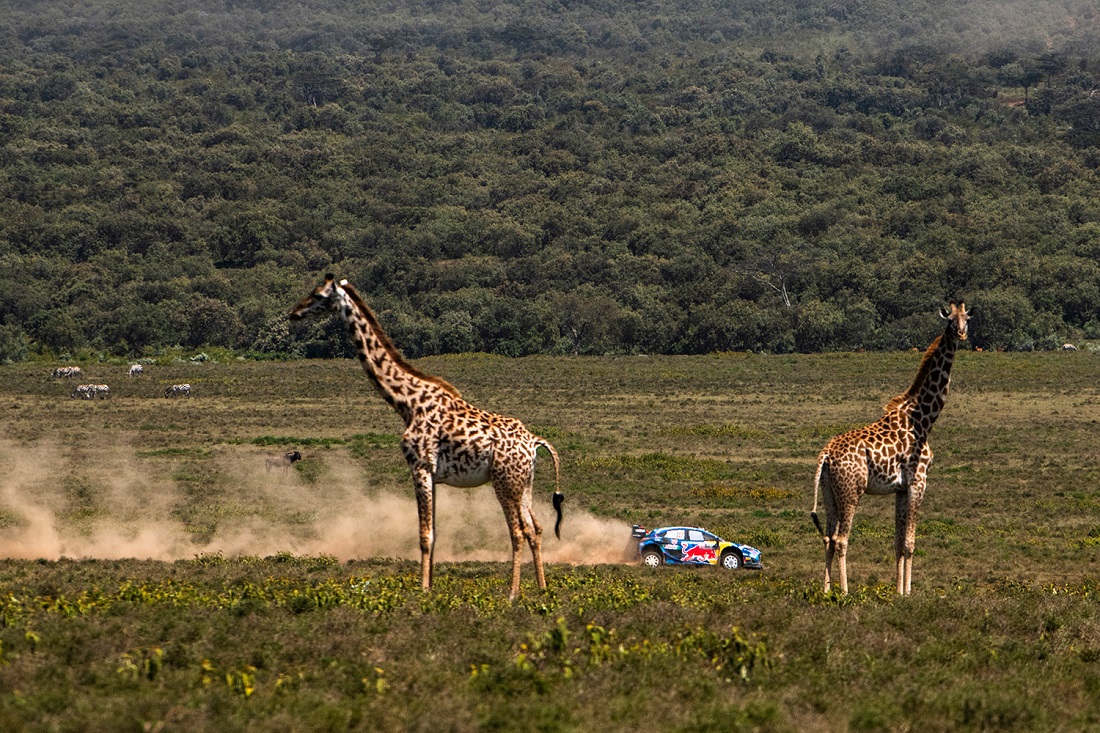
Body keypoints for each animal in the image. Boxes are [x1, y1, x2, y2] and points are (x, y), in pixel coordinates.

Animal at [290, 274, 567, 598]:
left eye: (318, 295)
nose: (294, 312)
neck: (406, 402)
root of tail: (535, 442)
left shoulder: (419, 467)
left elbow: (424, 536)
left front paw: (422, 592)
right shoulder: (434, 475)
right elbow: (435, 534)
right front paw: (431, 589)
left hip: (505, 481)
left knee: (518, 531)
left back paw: (512, 594)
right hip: (525, 483)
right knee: (536, 528)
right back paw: (542, 588)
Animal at [809, 301, 972, 594]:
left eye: (967, 318)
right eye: (950, 320)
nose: (961, 334)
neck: (923, 419)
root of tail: (825, 455)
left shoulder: (900, 489)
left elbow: (898, 543)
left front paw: (899, 591)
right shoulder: (919, 482)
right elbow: (910, 543)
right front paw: (908, 592)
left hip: (829, 491)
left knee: (827, 537)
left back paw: (826, 590)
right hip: (851, 490)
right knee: (841, 539)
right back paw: (845, 592)